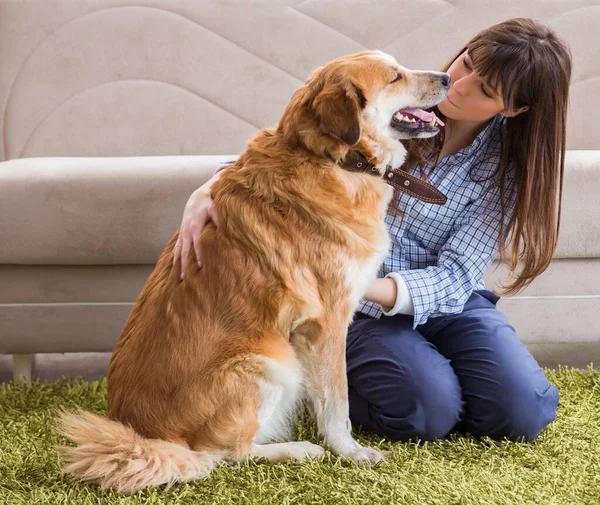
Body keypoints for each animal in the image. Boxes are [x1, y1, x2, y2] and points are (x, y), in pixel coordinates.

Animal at [57, 51, 450, 492]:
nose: (448, 78)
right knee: (224, 454)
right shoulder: (327, 323)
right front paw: (350, 451)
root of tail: (148, 436)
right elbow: (337, 403)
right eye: (395, 76)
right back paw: (298, 450)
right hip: (271, 363)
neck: (328, 158)